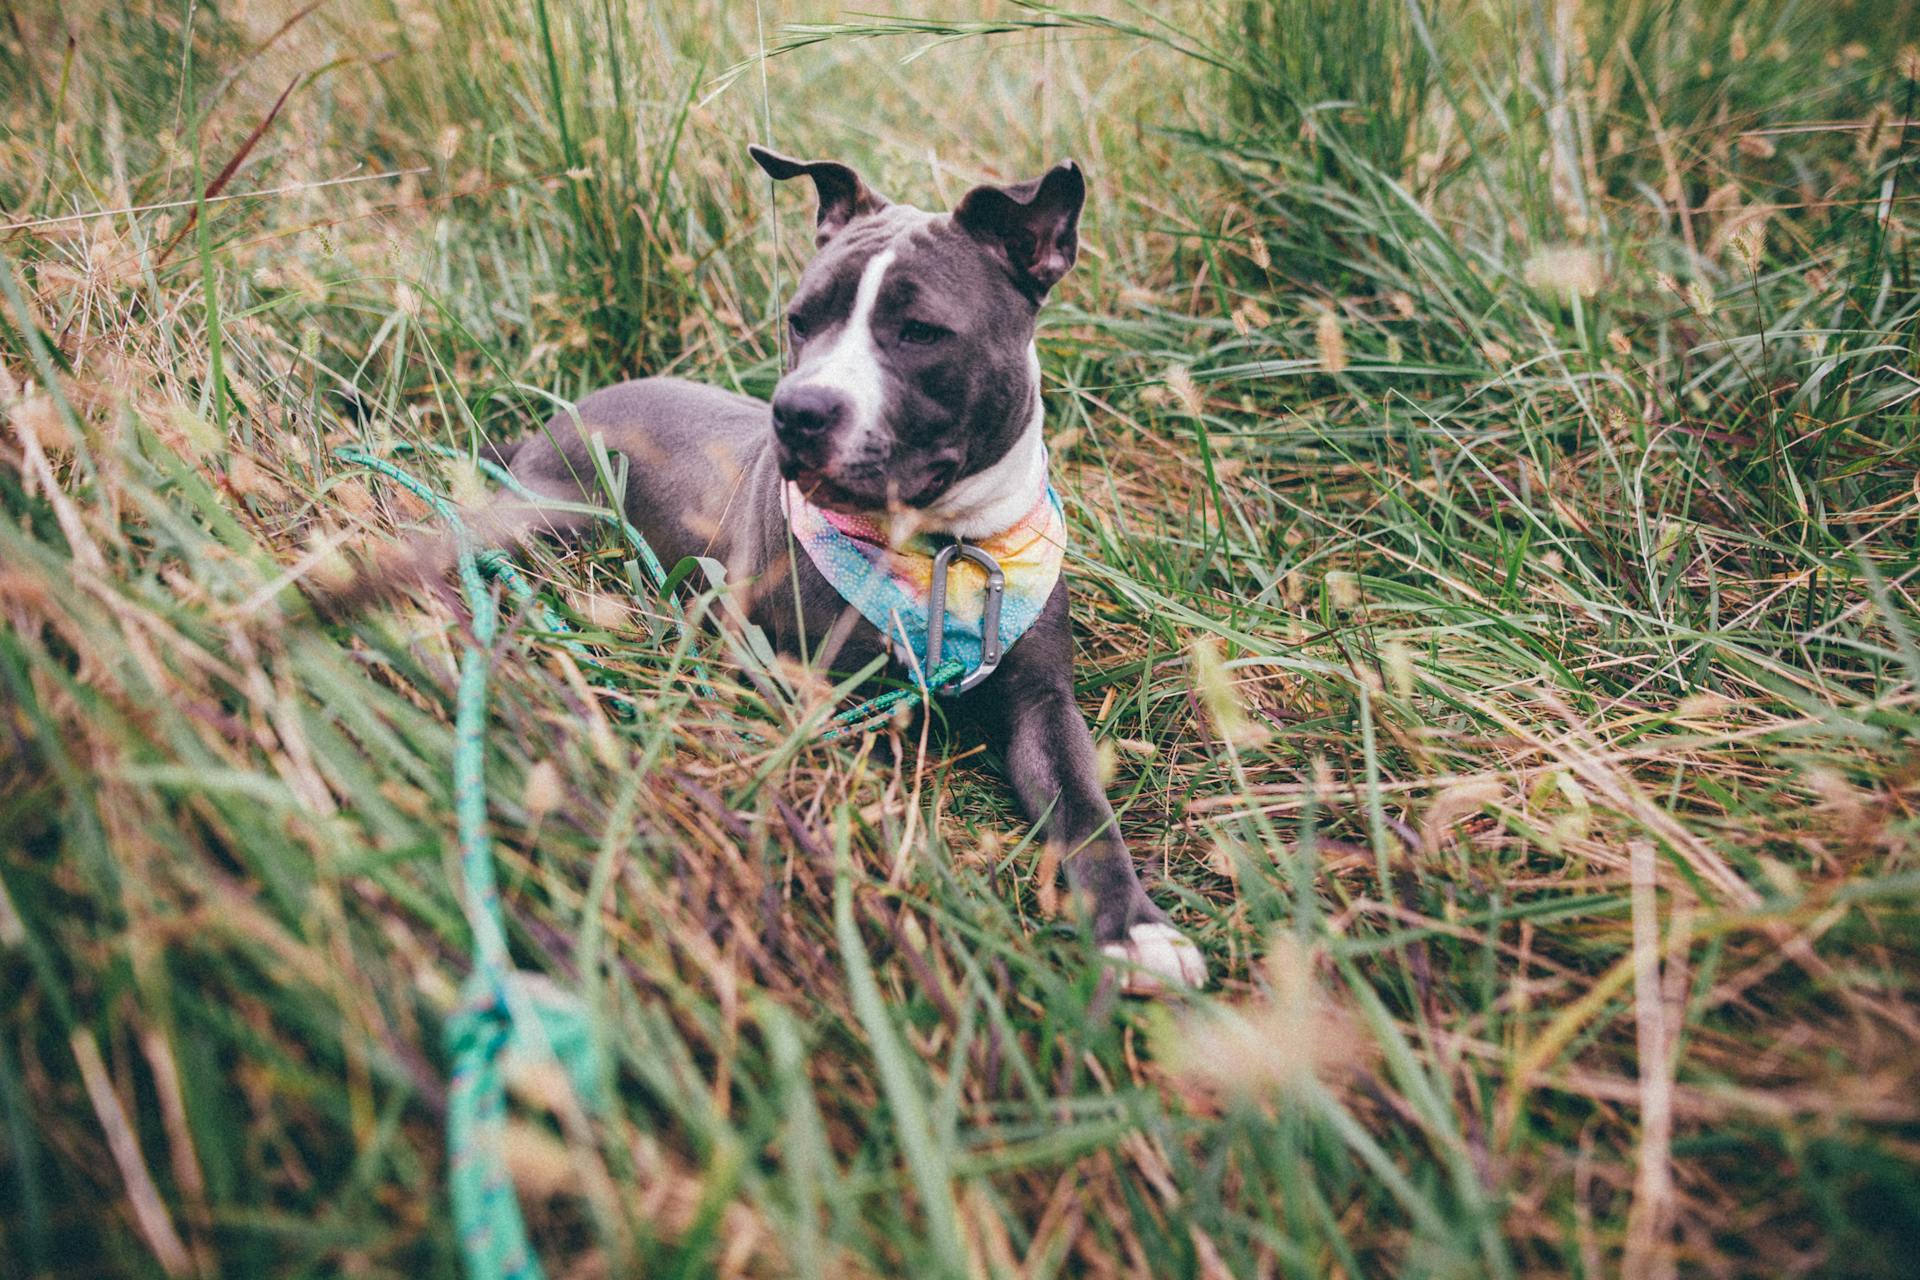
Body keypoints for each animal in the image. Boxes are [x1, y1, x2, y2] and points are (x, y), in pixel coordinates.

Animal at [330, 147, 1198, 990]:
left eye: (920, 331)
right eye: (800, 321)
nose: (798, 411)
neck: (936, 548)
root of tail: (558, 418)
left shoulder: (1041, 703)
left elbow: (1085, 808)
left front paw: (1136, 927)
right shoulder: (792, 677)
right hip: (544, 517)